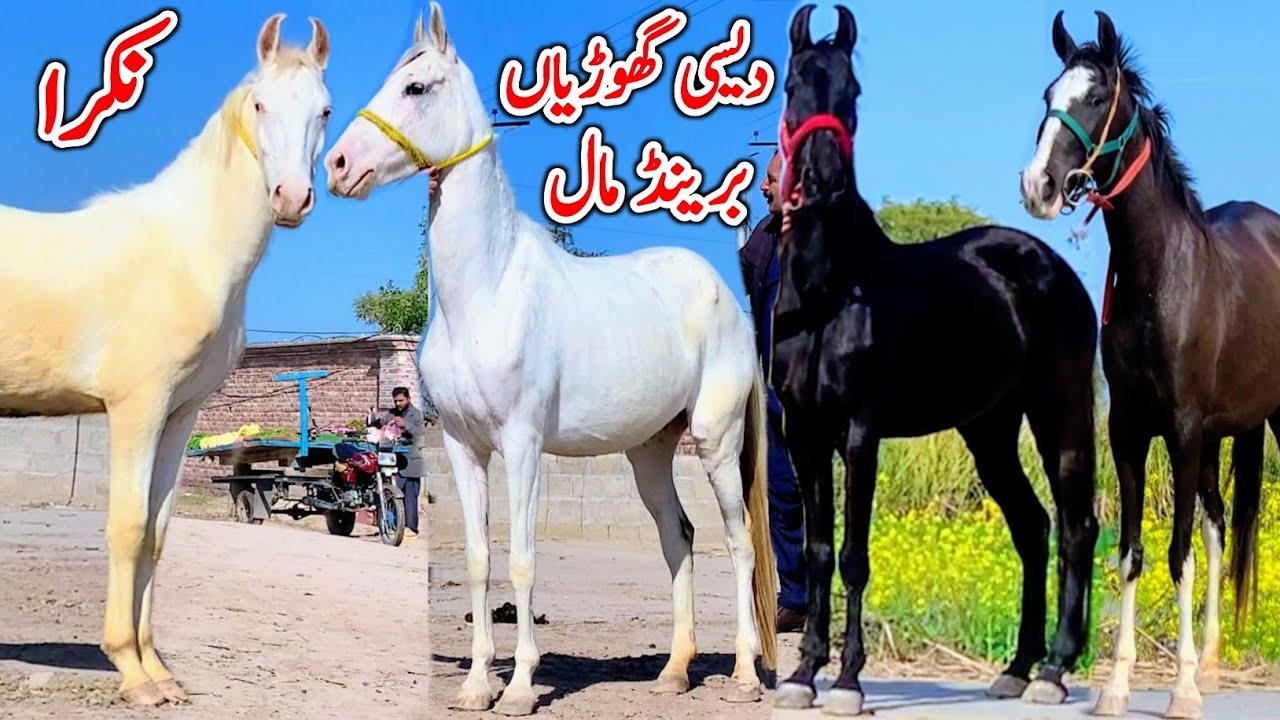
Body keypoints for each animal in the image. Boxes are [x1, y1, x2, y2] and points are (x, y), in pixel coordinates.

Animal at [0, 14, 331, 706]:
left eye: (324, 109)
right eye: (260, 105)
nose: (290, 198)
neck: (187, 248)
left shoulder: (181, 414)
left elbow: (157, 532)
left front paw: (157, 670)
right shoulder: (138, 408)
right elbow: (127, 527)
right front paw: (130, 672)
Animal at [322, 3, 775, 715]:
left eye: (416, 88)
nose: (338, 164)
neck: (486, 292)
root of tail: (724, 296)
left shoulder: (523, 444)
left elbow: (522, 559)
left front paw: (519, 688)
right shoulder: (463, 447)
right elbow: (479, 560)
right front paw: (476, 685)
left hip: (716, 440)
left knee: (738, 541)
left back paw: (745, 674)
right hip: (650, 452)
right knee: (679, 537)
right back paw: (674, 671)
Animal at [772, 5, 1102, 715]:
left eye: (853, 90)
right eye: (791, 85)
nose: (823, 181)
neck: (829, 291)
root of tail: (1051, 266)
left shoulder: (860, 433)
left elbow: (853, 555)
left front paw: (847, 680)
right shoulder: (804, 432)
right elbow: (817, 552)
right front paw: (802, 674)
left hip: (1059, 412)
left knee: (1077, 526)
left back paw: (1055, 670)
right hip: (989, 429)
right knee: (1032, 526)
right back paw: (1016, 668)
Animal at [1019, 11, 1280, 719]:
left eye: (1095, 96)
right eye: (1048, 93)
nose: (1037, 187)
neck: (1161, 277)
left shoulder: (1183, 431)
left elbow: (1178, 553)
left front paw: (1181, 691)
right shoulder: (1132, 433)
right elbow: (1135, 554)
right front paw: (1117, 687)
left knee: (1208, 532)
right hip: (1225, 435)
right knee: (1221, 524)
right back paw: (1214, 662)